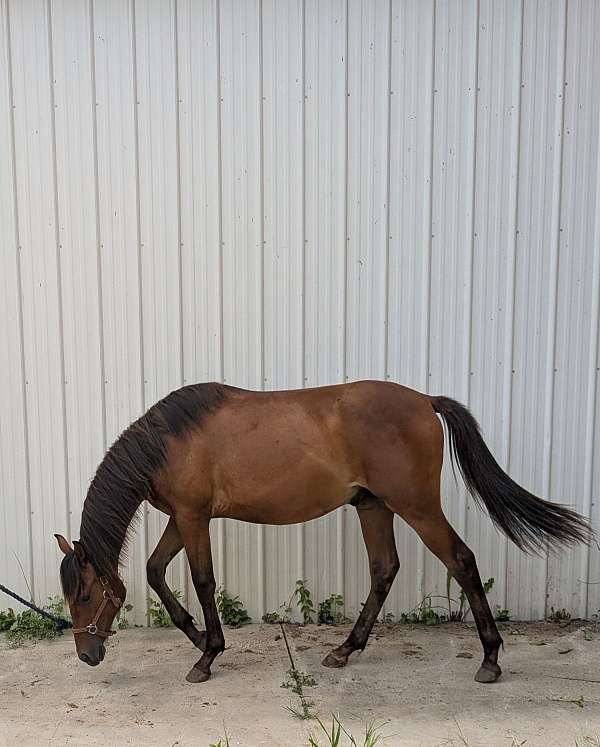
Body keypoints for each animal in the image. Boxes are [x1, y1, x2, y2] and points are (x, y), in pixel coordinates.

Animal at [54, 380, 592, 684]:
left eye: (84, 595)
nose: (86, 655)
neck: (170, 441)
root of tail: (425, 402)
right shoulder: (181, 517)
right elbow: (153, 571)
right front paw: (197, 637)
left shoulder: (192, 516)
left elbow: (202, 581)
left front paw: (207, 655)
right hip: (373, 506)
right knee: (384, 569)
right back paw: (344, 650)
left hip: (416, 506)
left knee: (461, 561)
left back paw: (490, 659)